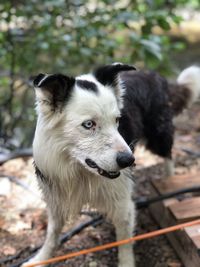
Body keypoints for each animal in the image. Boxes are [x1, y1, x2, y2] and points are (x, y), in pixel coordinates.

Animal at [23, 63, 200, 266]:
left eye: (117, 120)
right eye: (89, 124)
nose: (129, 161)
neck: (79, 170)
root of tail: (152, 74)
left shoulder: (122, 203)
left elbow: (124, 241)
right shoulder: (56, 198)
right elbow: (52, 233)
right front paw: (41, 258)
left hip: (159, 134)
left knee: (168, 156)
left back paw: (170, 183)